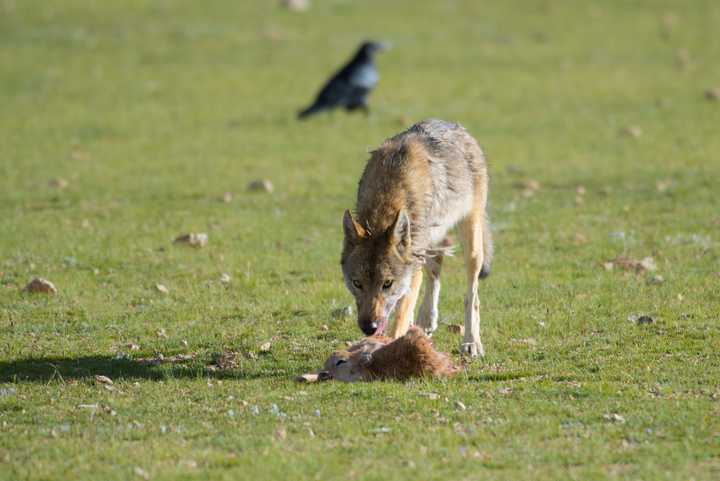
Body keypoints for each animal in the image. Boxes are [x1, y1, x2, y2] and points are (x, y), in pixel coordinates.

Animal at [342, 118, 490, 354]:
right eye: (357, 283)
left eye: (387, 283)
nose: (369, 327)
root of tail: (456, 127)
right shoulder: (416, 257)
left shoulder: (412, 268)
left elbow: (400, 315)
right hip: (429, 245)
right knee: (435, 271)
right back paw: (426, 320)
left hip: (471, 245)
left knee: (472, 296)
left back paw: (471, 342)